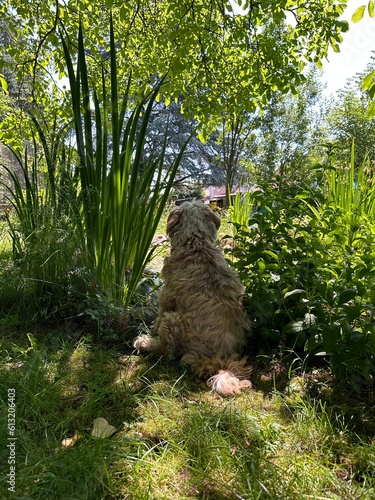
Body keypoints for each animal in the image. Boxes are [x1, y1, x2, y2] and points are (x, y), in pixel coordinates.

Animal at [133, 199, 253, 394]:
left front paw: (150, 332)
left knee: (165, 349)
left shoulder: (166, 299)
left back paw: (145, 343)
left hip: (173, 320)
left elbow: (157, 320)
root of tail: (219, 358)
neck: (196, 241)